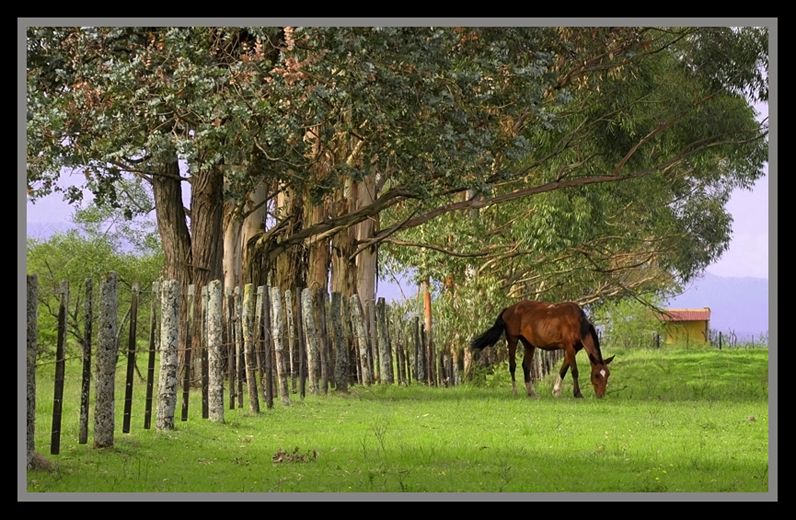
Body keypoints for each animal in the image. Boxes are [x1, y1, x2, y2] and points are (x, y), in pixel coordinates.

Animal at [472, 300, 616, 398]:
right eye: (596, 375)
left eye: (607, 374)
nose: (601, 395)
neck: (577, 322)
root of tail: (509, 309)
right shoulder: (569, 347)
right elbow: (574, 371)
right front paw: (577, 393)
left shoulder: (573, 350)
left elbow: (563, 369)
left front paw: (556, 391)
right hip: (512, 339)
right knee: (513, 366)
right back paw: (515, 391)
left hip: (529, 344)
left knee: (526, 366)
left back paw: (531, 392)